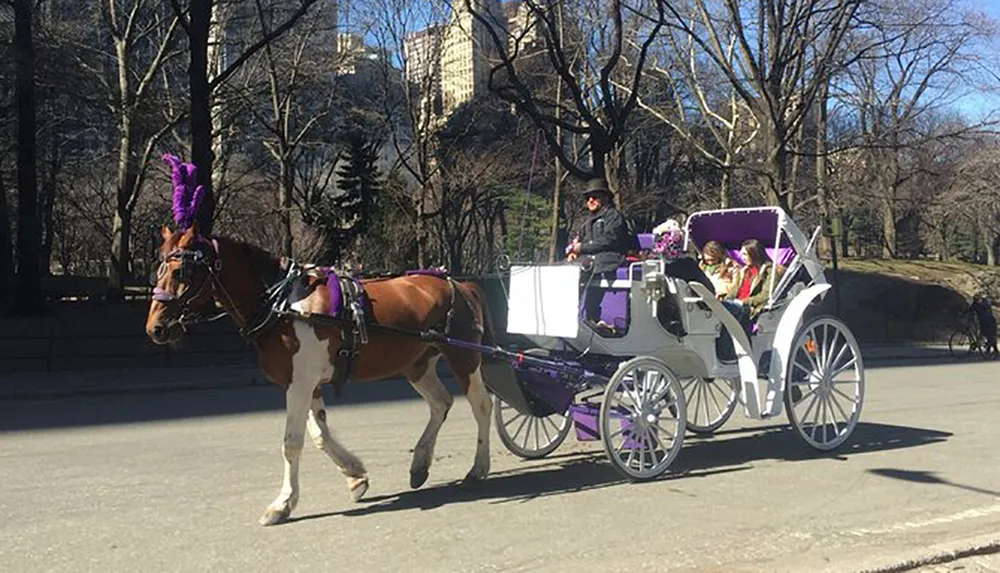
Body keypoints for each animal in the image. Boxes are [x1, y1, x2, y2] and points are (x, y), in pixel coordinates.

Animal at [145, 222, 496, 524]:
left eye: (180, 271)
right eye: (158, 270)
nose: (155, 328)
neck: (284, 306)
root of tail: (462, 284)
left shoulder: (298, 384)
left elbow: (292, 442)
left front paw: (283, 503)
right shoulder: (307, 384)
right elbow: (319, 435)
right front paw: (355, 476)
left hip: (463, 357)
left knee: (482, 405)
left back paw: (478, 468)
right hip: (417, 364)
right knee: (441, 403)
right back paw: (420, 463)